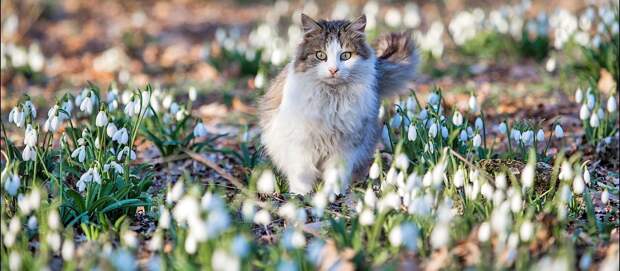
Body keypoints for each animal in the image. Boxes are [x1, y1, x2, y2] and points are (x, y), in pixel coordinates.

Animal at [256, 13, 416, 196]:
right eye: (320, 55)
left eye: (345, 56)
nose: (333, 70)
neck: (332, 99)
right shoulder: (301, 144)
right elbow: (302, 175)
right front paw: (300, 195)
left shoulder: (344, 147)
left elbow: (336, 174)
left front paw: (333, 194)